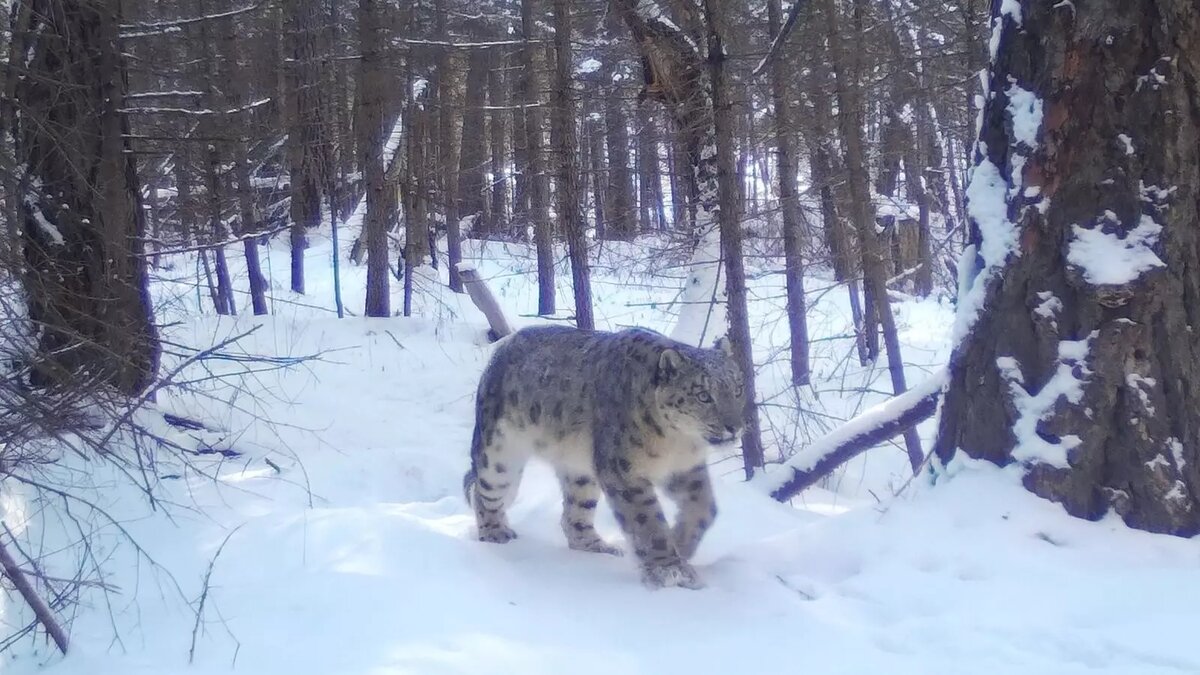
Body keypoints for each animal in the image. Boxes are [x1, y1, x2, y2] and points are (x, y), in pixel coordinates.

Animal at [458, 324, 739, 586]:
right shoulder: (624, 470)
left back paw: (595, 546)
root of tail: (503, 345)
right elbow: (647, 520)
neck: (678, 443)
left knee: (574, 512)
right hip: (499, 453)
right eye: (703, 396)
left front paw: (682, 544)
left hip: (581, 472)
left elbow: (705, 507)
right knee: (485, 491)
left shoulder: (686, 468)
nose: (734, 426)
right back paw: (495, 532)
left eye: (737, 390)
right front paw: (670, 570)